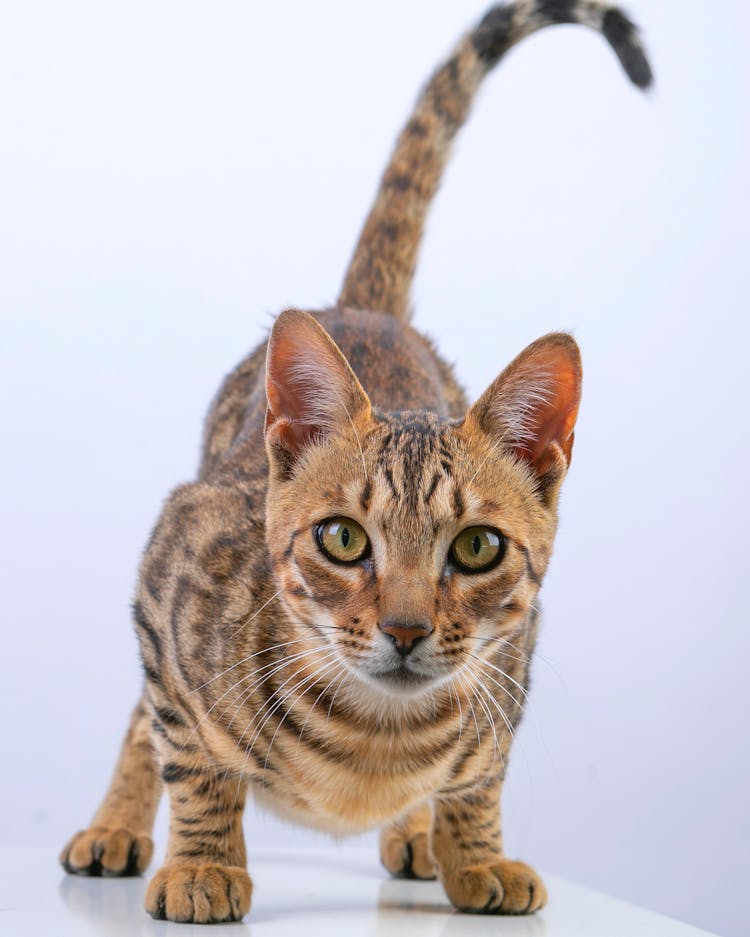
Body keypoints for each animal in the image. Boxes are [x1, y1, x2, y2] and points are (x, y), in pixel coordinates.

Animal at [60, 0, 652, 920]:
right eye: (341, 538)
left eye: (477, 547)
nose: (406, 628)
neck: (376, 741)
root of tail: (364, 307)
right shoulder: (170, 578)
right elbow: (190, 753)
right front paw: (204, 861)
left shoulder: (513, 665)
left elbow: (482, 774)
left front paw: (475, 849)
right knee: (140, 722)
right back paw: (117, 825)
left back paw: (416, 831)